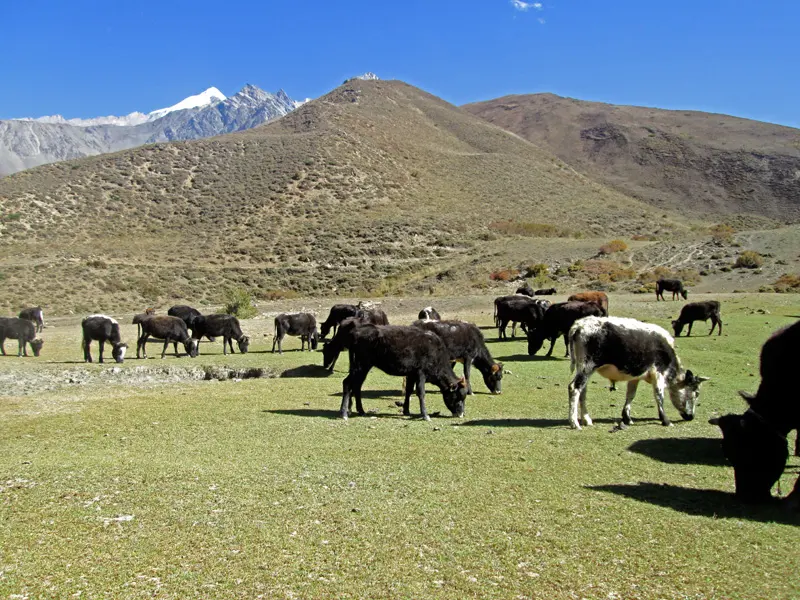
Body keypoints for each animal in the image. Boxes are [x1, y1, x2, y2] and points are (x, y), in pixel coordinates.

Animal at [339, 324, 468, 421]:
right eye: (457, 396)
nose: (460, 414)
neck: (436, 353)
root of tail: (356, 332)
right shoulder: (421, 374)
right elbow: (421, 393)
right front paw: (425, 415)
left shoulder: (411, 374)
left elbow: (409, 391)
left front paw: (406, 410)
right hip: (361, 365)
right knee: (347, 383)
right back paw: (344, 413)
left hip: (363, 367)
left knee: (357, 386)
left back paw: (360, 411)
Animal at [567, 316, 708, 430]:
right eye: (696, 393)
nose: (691, 416)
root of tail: (579, 325)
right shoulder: (658, 373)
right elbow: (659, 396)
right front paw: (666, 420)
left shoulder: (635, 377)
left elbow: (630, 395)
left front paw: (627, 418)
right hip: (587, 367)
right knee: (574, 388)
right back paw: (574, 423)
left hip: (584, 369)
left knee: (583, 391)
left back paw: (586, 419)